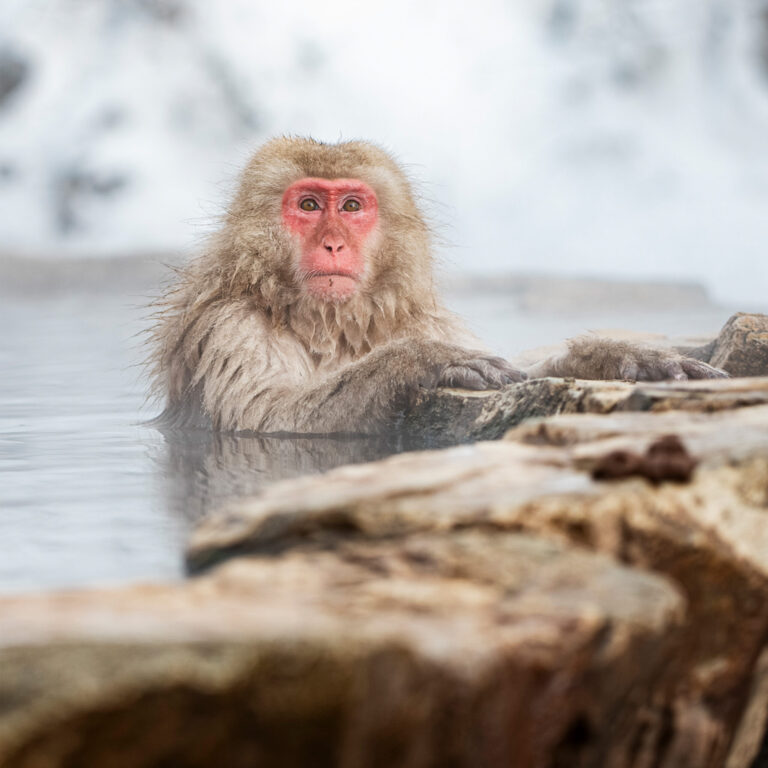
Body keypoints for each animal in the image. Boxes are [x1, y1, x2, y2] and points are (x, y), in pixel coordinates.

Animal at [149, 137, 726, 435]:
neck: (329, 323)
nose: (333, 243)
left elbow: (525, 371)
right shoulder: (231, 324)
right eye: (309, 205)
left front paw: (619, 356)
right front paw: (421, 360)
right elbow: (265, 419)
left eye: (351, 206)